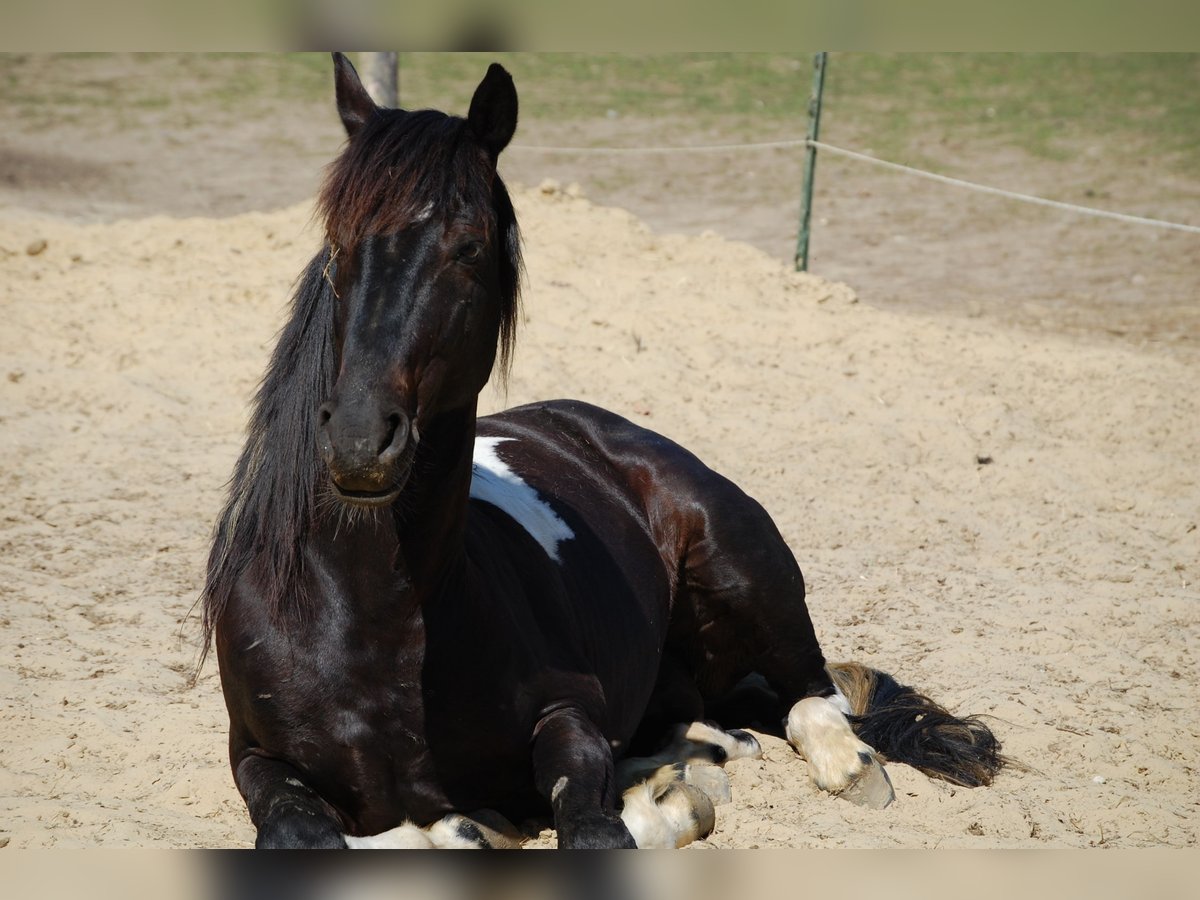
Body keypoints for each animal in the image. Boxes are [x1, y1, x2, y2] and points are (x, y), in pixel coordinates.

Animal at [199, 56, 1003, 854]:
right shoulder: (257, 758)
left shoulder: (571, 720)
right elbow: (308, 834)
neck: (369, 624)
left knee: (815, 695)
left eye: (468, 247)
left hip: (748, 573)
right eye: (338, 245)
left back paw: (840, 766)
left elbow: (592, 829)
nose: (360, 441)